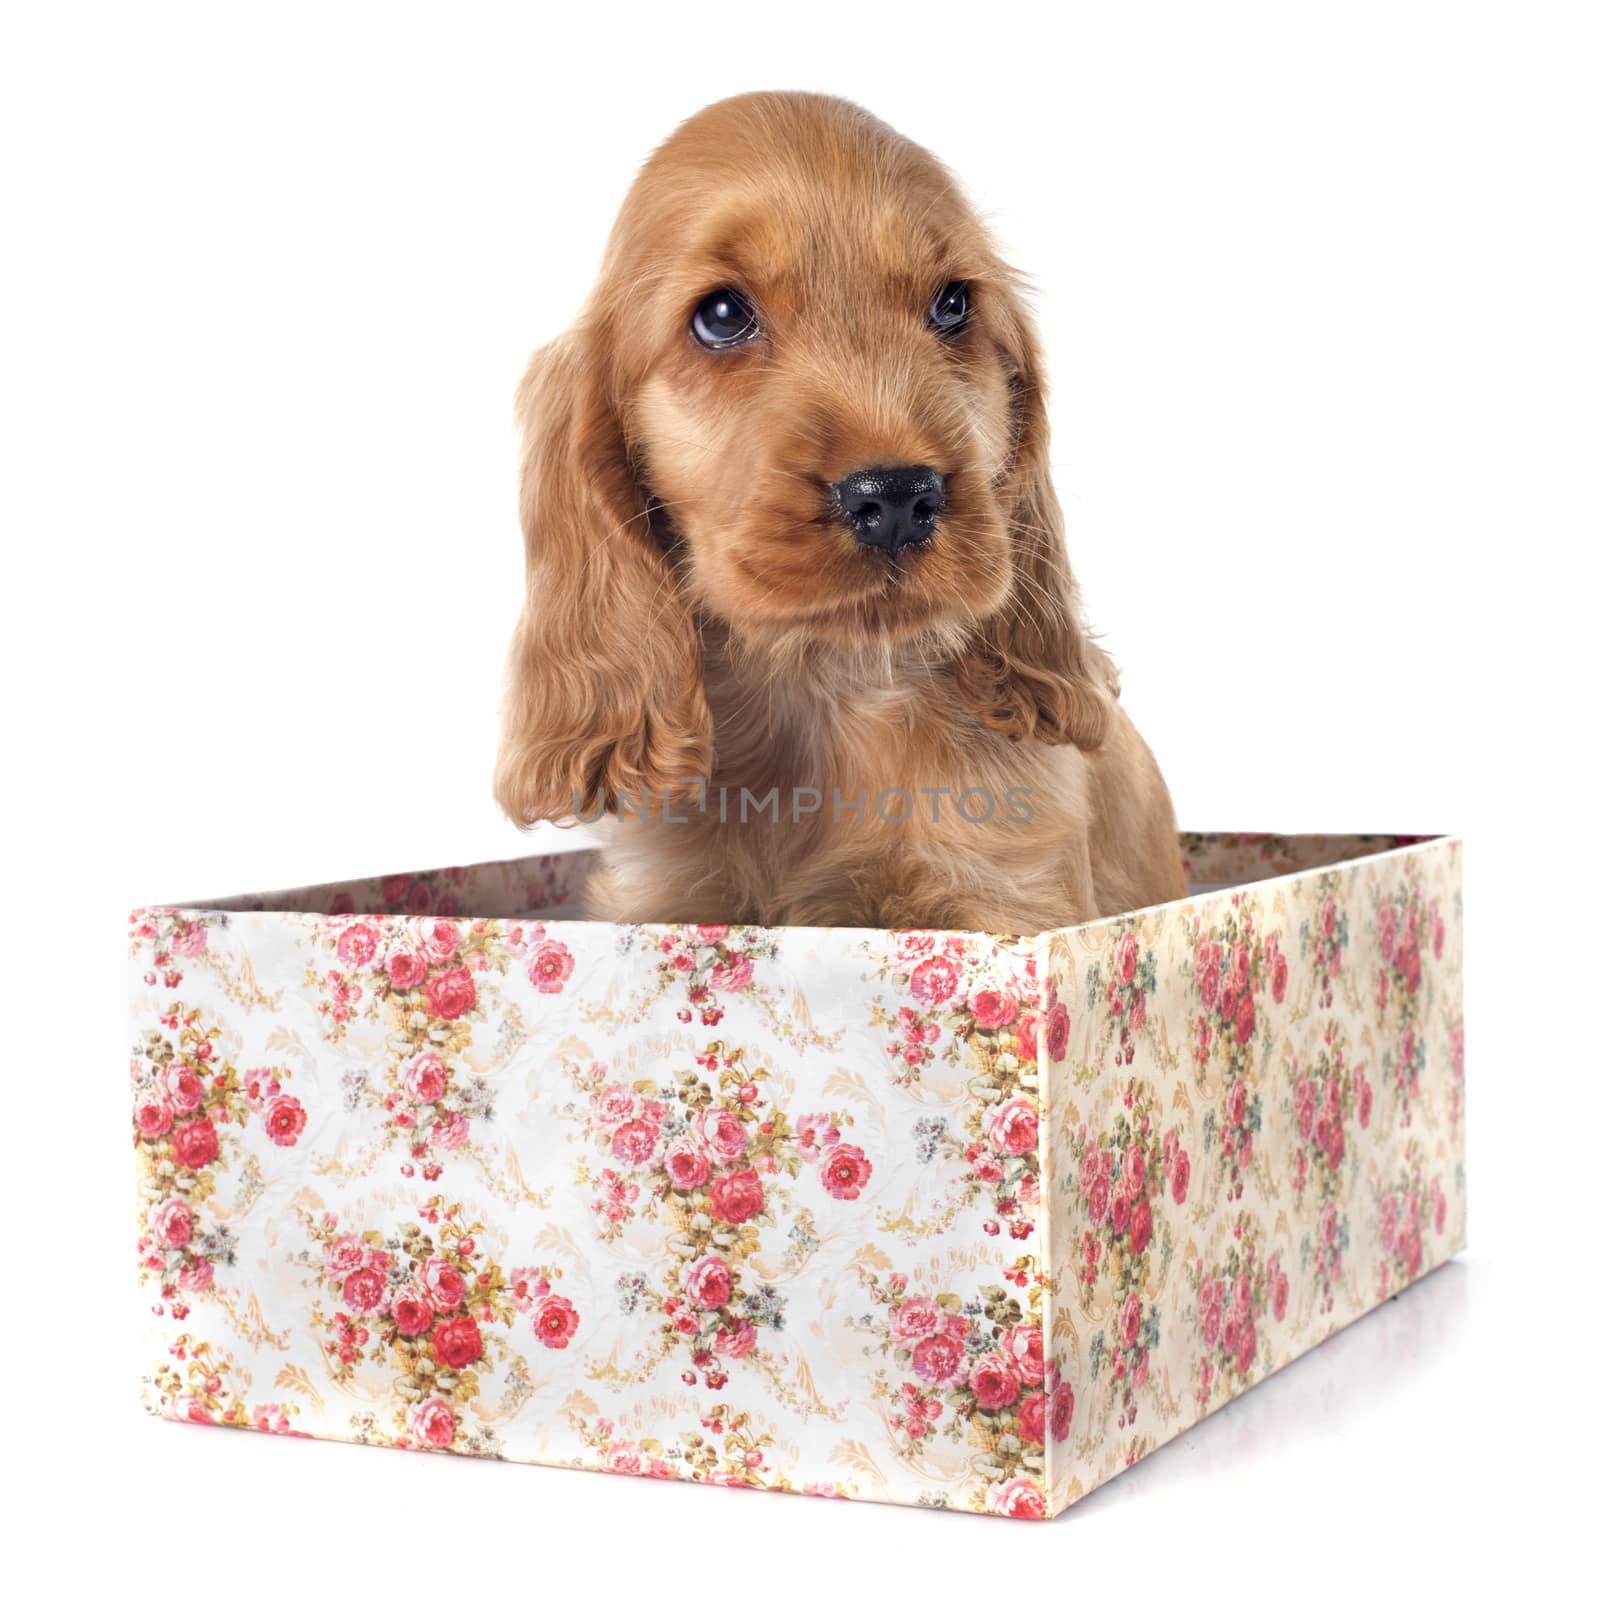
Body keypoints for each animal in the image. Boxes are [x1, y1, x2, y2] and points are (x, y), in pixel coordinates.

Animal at [499, 90, 1190, 934]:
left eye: (952, 305)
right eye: (721, 315)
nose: (896, 498)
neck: (829, 689)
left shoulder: (1009, 895)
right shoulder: (669, 898)